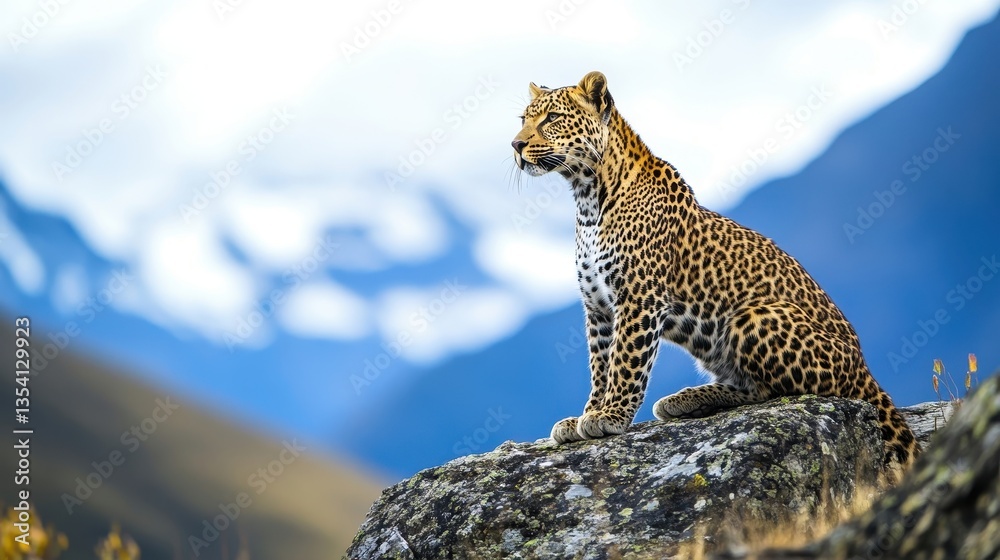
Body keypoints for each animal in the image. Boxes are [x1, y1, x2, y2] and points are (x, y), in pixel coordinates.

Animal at [510, 71, 918, 476]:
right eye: (523, 119)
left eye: (551, 119)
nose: (516, 144)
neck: (587, 199)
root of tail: (864, 368)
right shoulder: (597, 307)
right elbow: (600, 363)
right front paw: (588, 413)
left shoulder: (639, 299)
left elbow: (625, 361)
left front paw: (610, 416)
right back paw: (687, 399)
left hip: (754, 316)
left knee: (781, 393)